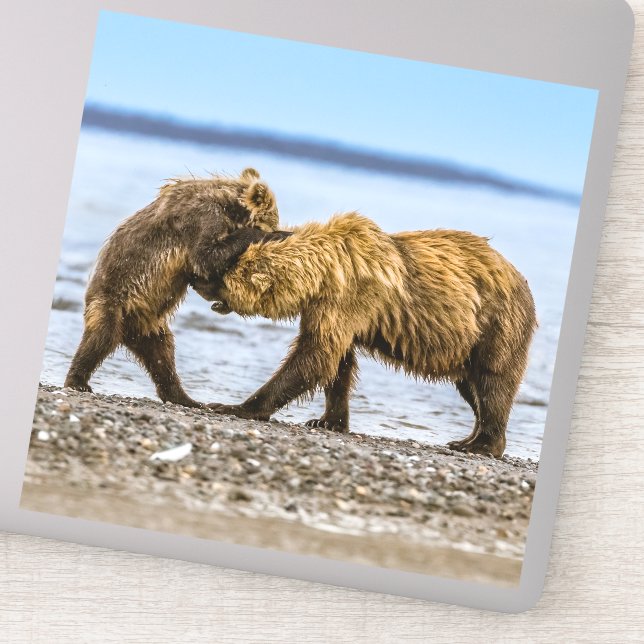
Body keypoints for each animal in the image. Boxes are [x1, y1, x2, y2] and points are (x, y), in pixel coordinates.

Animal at [64, 167, 285, 408]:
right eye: (274, 220)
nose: (278, 228)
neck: (229, 206)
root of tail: (128, 332)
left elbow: (205, 270)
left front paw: (222, 301)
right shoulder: (203, 218)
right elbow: (206, 257)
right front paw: (273, 235)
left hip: (149, 324)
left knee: (163, 355)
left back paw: (185, 398)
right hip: (112, 300)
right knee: (101, 337)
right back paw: (77, 381)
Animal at [202, 212, 537, 458]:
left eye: (224, 273)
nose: (201, 282)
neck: (324, 271)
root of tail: (522, 282)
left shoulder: (350, 297)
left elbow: (315, 356)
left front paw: (235, 406)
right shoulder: (329, 308)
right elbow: (338, 363)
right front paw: (327, 421)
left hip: (496, 325)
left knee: (493, 382)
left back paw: (481, 444)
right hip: (469, 344)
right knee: (471, 387)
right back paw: (467, 438)